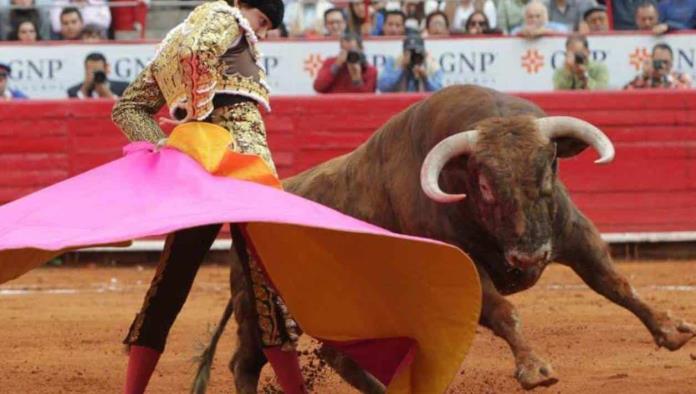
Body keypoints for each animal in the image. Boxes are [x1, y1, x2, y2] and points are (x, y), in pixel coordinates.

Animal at [197, 84, 696, 392]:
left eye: (550, 167)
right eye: (486, 184)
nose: (529, 258)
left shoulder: (571, 234)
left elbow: (617, 283)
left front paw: (671, 330)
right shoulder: (466, 269)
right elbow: (504, 311)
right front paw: (534, 369)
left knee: (342, 359)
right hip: (256, 308)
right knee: (245, 363)